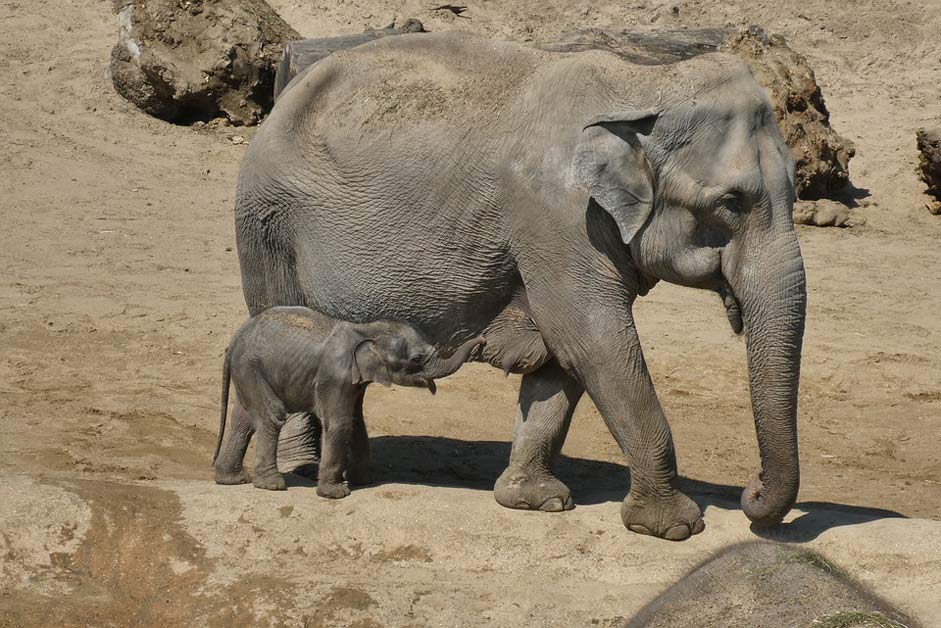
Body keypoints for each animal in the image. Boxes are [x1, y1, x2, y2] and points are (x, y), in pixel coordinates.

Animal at [214, 306, 484, 498]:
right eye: (416, 359)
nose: (482, 340)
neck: (366, 329)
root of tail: (233, 341)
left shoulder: (355, 380)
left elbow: (356, 421)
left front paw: (364, 481)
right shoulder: (335, 375)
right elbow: (340, 422)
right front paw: (336, 493)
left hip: (247, 371)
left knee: (242, 420)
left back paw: (232, 480)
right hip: (251, 367)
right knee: (271, 415)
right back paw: (271, 485)